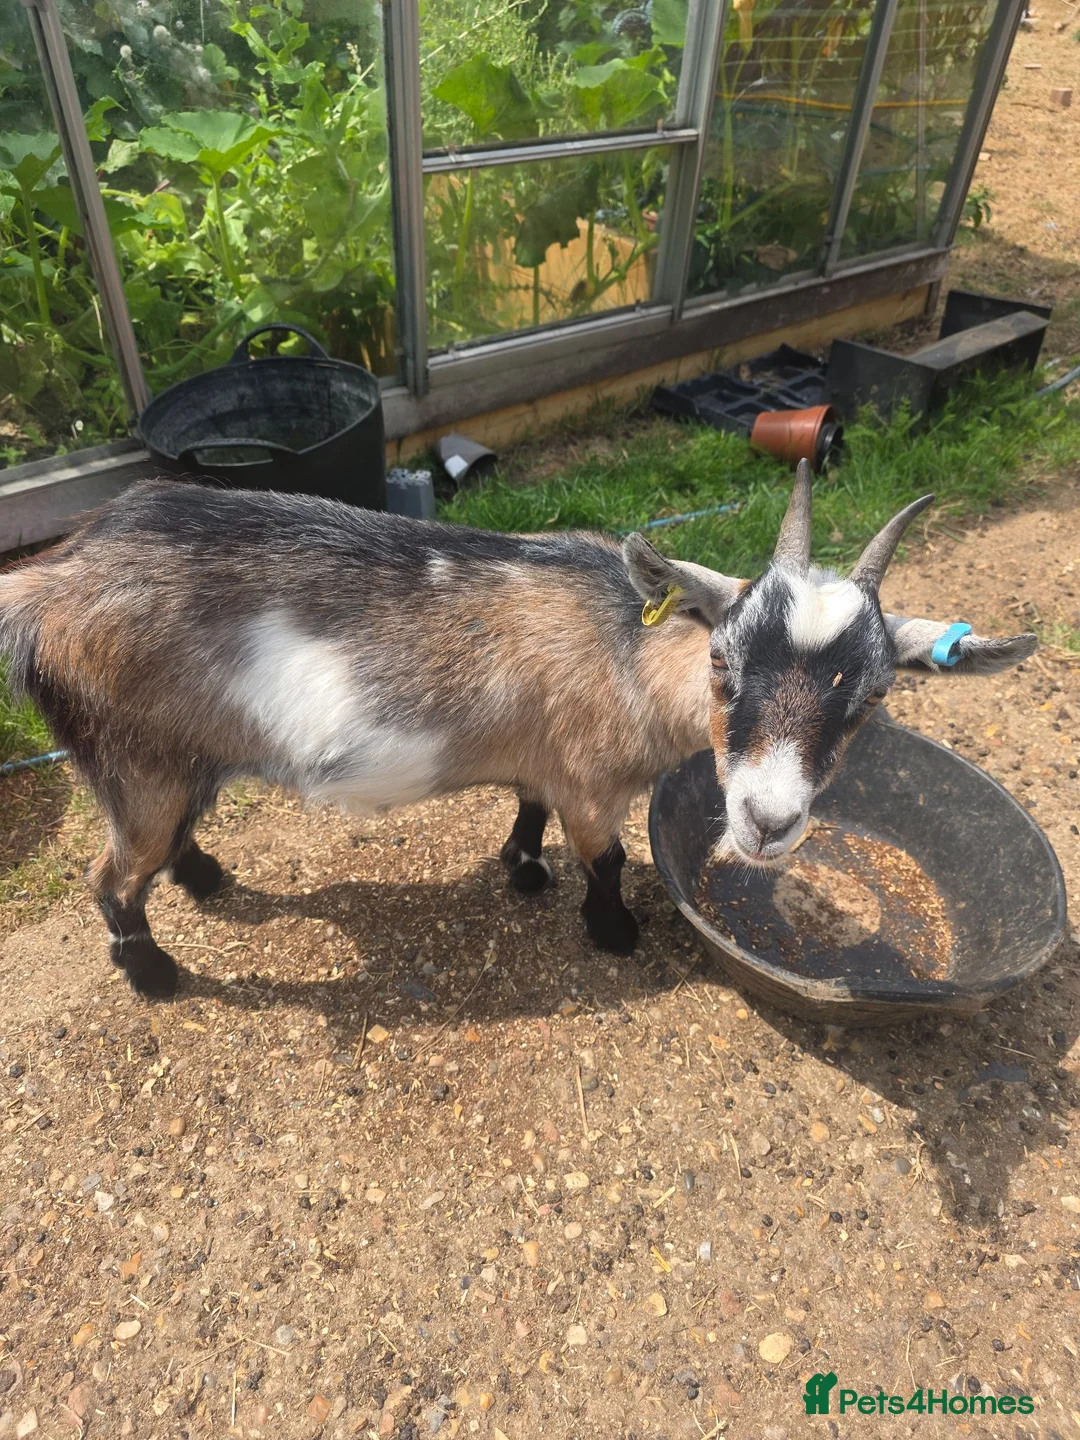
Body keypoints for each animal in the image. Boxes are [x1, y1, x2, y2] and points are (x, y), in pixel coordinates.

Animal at [0, 465, 1035, 1000]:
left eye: (871, 702)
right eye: (723, 665)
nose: (768, 822)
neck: (630, 653)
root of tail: (49, 583)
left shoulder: (545, 762)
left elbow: (528, 810)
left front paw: (524, 870)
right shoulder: (590, 781)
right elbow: (607, 858)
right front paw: (611, 932)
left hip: (174, 758)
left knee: (168, 836)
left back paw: (206, 878)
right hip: (133, 760)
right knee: (110, 875)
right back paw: (153, 972)